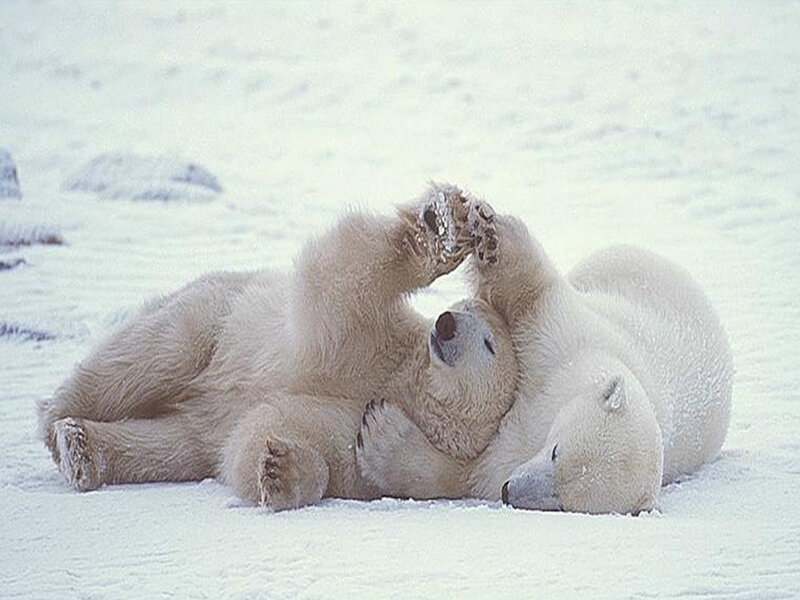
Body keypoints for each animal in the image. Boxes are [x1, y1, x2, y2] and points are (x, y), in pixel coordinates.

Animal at [37, 183, 518, 510]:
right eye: (464, 304)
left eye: (489, 342)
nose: (446, 322)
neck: (402, 383)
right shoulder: (365, 342)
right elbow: (343, 280)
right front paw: (445, 225)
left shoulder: (355, 432)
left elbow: (261, 437)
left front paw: (281, 469)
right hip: (214, 316)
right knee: (155, 355)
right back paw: (59, 420)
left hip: (195, 421)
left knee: (171, 446)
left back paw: (83, 448)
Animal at [356, 196, 734, 514]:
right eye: (556, 452)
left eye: (562, 502)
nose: (510, 491)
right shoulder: (570, 345)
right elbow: (535, 297)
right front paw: (492, 236)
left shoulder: (510, 454)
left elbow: (466, 471)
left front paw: (380, 434)